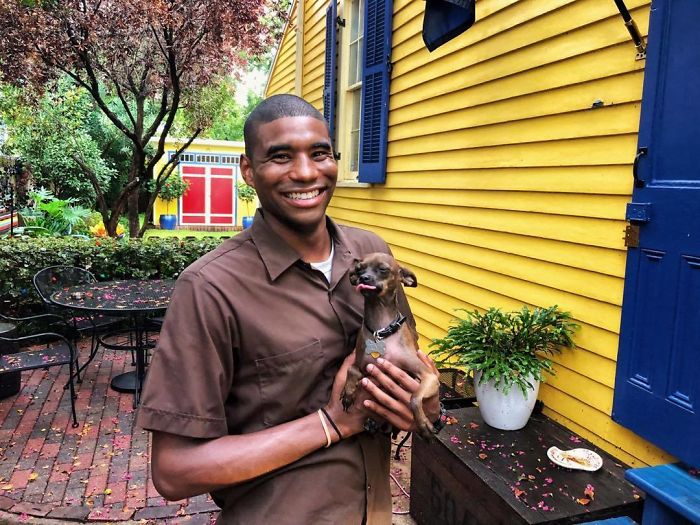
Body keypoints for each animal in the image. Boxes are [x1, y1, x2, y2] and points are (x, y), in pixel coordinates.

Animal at [341, 252, 439, 439]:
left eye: (383, 269)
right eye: (359, 269)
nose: (363, 277)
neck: (381, 331)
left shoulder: (429, 376)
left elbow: (414, 398)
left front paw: (422, 423)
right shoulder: (361, 365)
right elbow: (352, 369)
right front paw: (348, 392)